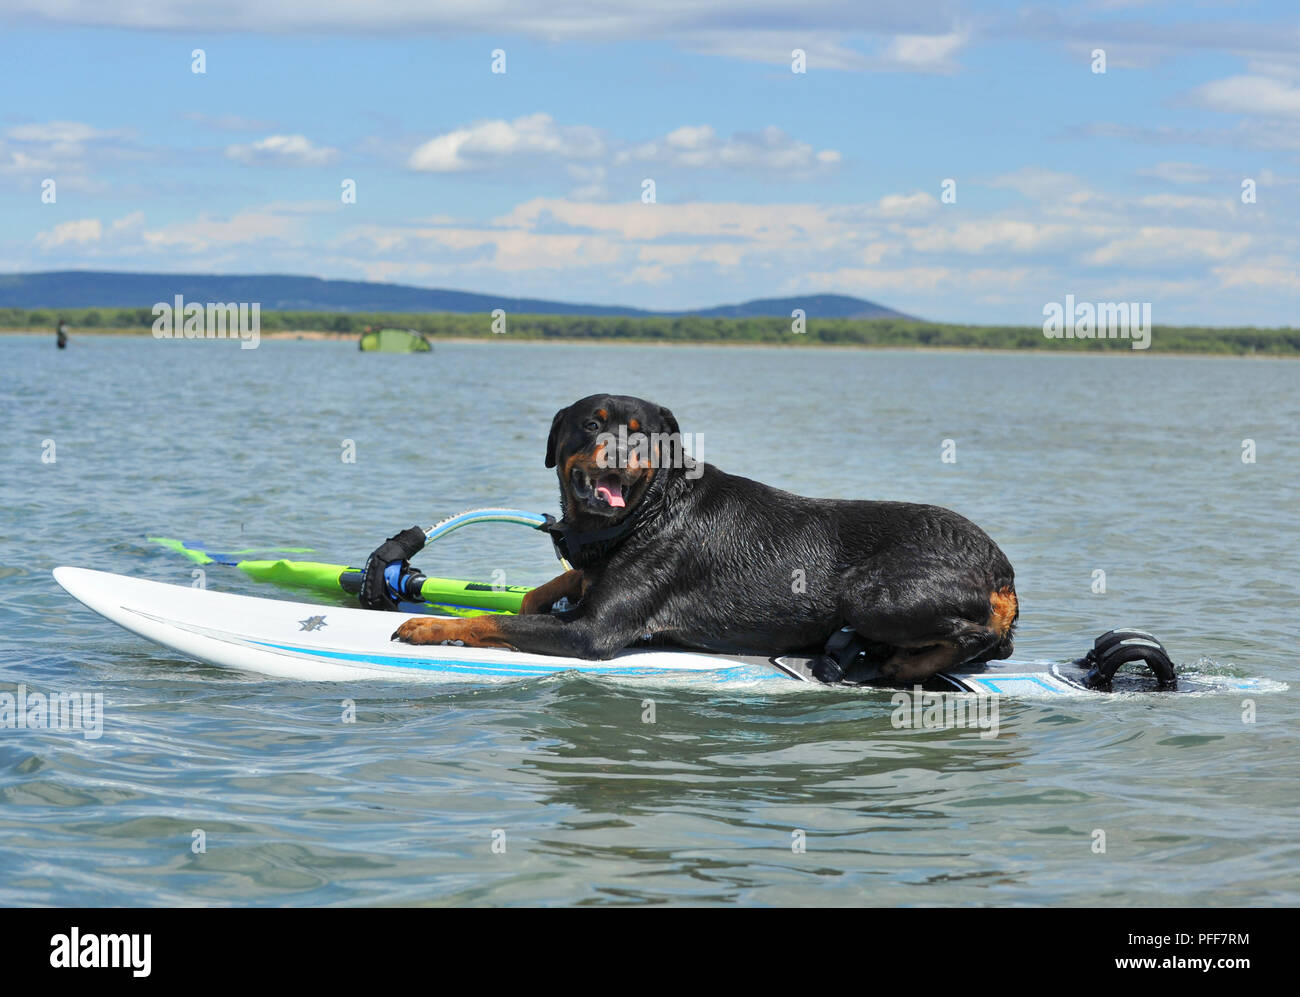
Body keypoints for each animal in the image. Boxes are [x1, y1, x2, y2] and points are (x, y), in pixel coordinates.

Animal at [390, 395, 1019, 681]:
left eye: (642, 436)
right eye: (591, 425)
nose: (616, 455)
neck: (645, 512)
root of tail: (1003, 572)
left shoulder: (593, 633)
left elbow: (490, 620)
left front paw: (428, 626)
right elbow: (550, 587)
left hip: (874, 594)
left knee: (981, 636)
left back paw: (901, 665)